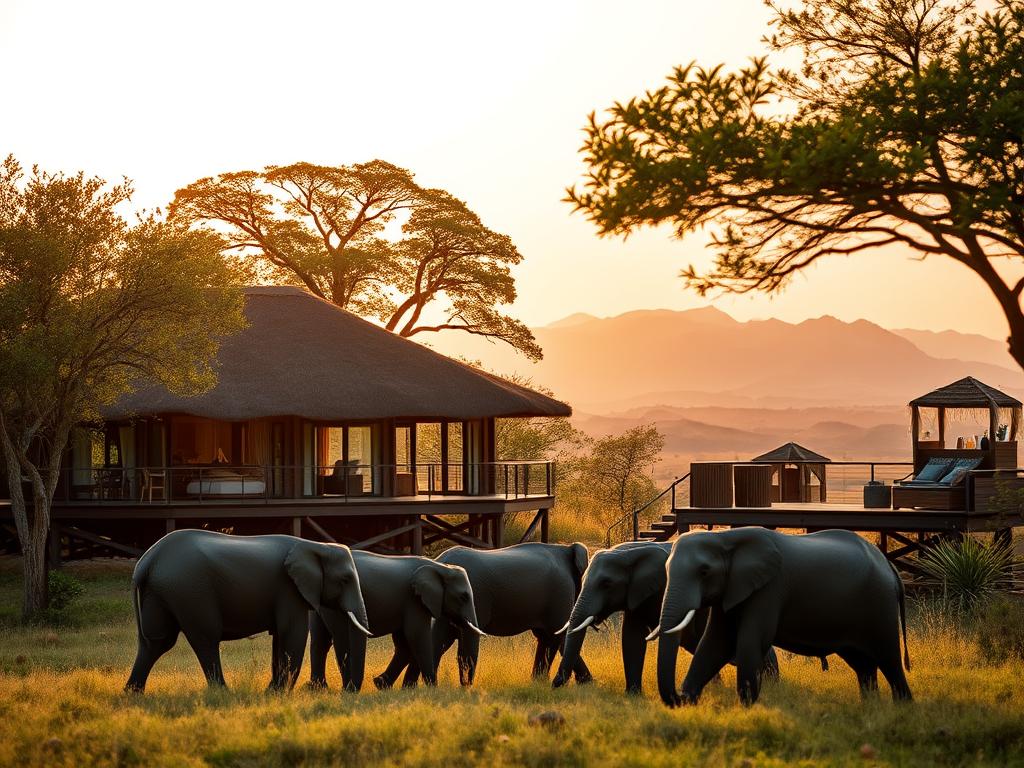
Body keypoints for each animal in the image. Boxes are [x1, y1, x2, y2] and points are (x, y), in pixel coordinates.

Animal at [125, 530, 370, 693]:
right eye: (345, 580)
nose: (349, 691)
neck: (315, 545)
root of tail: (145, 563)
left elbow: (280, 637)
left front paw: (272, 692)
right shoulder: (289, 589)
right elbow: (292, 634)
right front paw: (279, 693)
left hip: (160, 592)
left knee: (156, 642)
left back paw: (133, 693)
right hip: (189, 591)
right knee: (205, 639)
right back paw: (223, 693)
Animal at [307, 551, 483, 691]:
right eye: (463, 597)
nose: (465, 686)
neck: (441, 567)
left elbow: (404, 642)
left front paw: (382, 685)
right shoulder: (414, 599)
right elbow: (416, 635)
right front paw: (433, 689)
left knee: (320, 640)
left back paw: (319, 689)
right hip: (336, 600)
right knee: (340, 636)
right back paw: (344, 689)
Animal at [552, 540, 779, 694]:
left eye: (606, 584)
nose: (553, 685)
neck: (627, 554)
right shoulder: (636, 594)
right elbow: (632, 637)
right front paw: (633, 695)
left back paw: (771, 685)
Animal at [651, 527, 911, 707]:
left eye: (704, 571)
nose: (680, 696)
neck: (725, 537)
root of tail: (891, 568)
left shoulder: (770, 589)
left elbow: (750, 642)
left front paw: (747, 707)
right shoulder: (731, 590)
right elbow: (715, 643)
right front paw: (691, 701)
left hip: (880, 604)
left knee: (889, 659)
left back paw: (902, 709)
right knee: (863, 664)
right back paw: (871, 707)